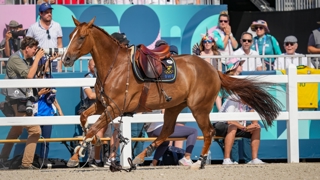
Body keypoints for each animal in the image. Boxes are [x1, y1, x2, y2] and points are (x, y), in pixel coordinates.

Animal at [61, 16, 282, 169]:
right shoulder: (102, 105)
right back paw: (140, 157)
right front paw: (85, 147)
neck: (115, 67)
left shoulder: (114, 109)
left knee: (208, 132)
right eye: (71, 36)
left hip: (199, 109)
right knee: (166, 132)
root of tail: (213, 70)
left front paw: (76, 155)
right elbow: (84, 119)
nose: (65, 59)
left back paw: (199, 162)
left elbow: (91, 128)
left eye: (81, 37)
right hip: (174, 107)